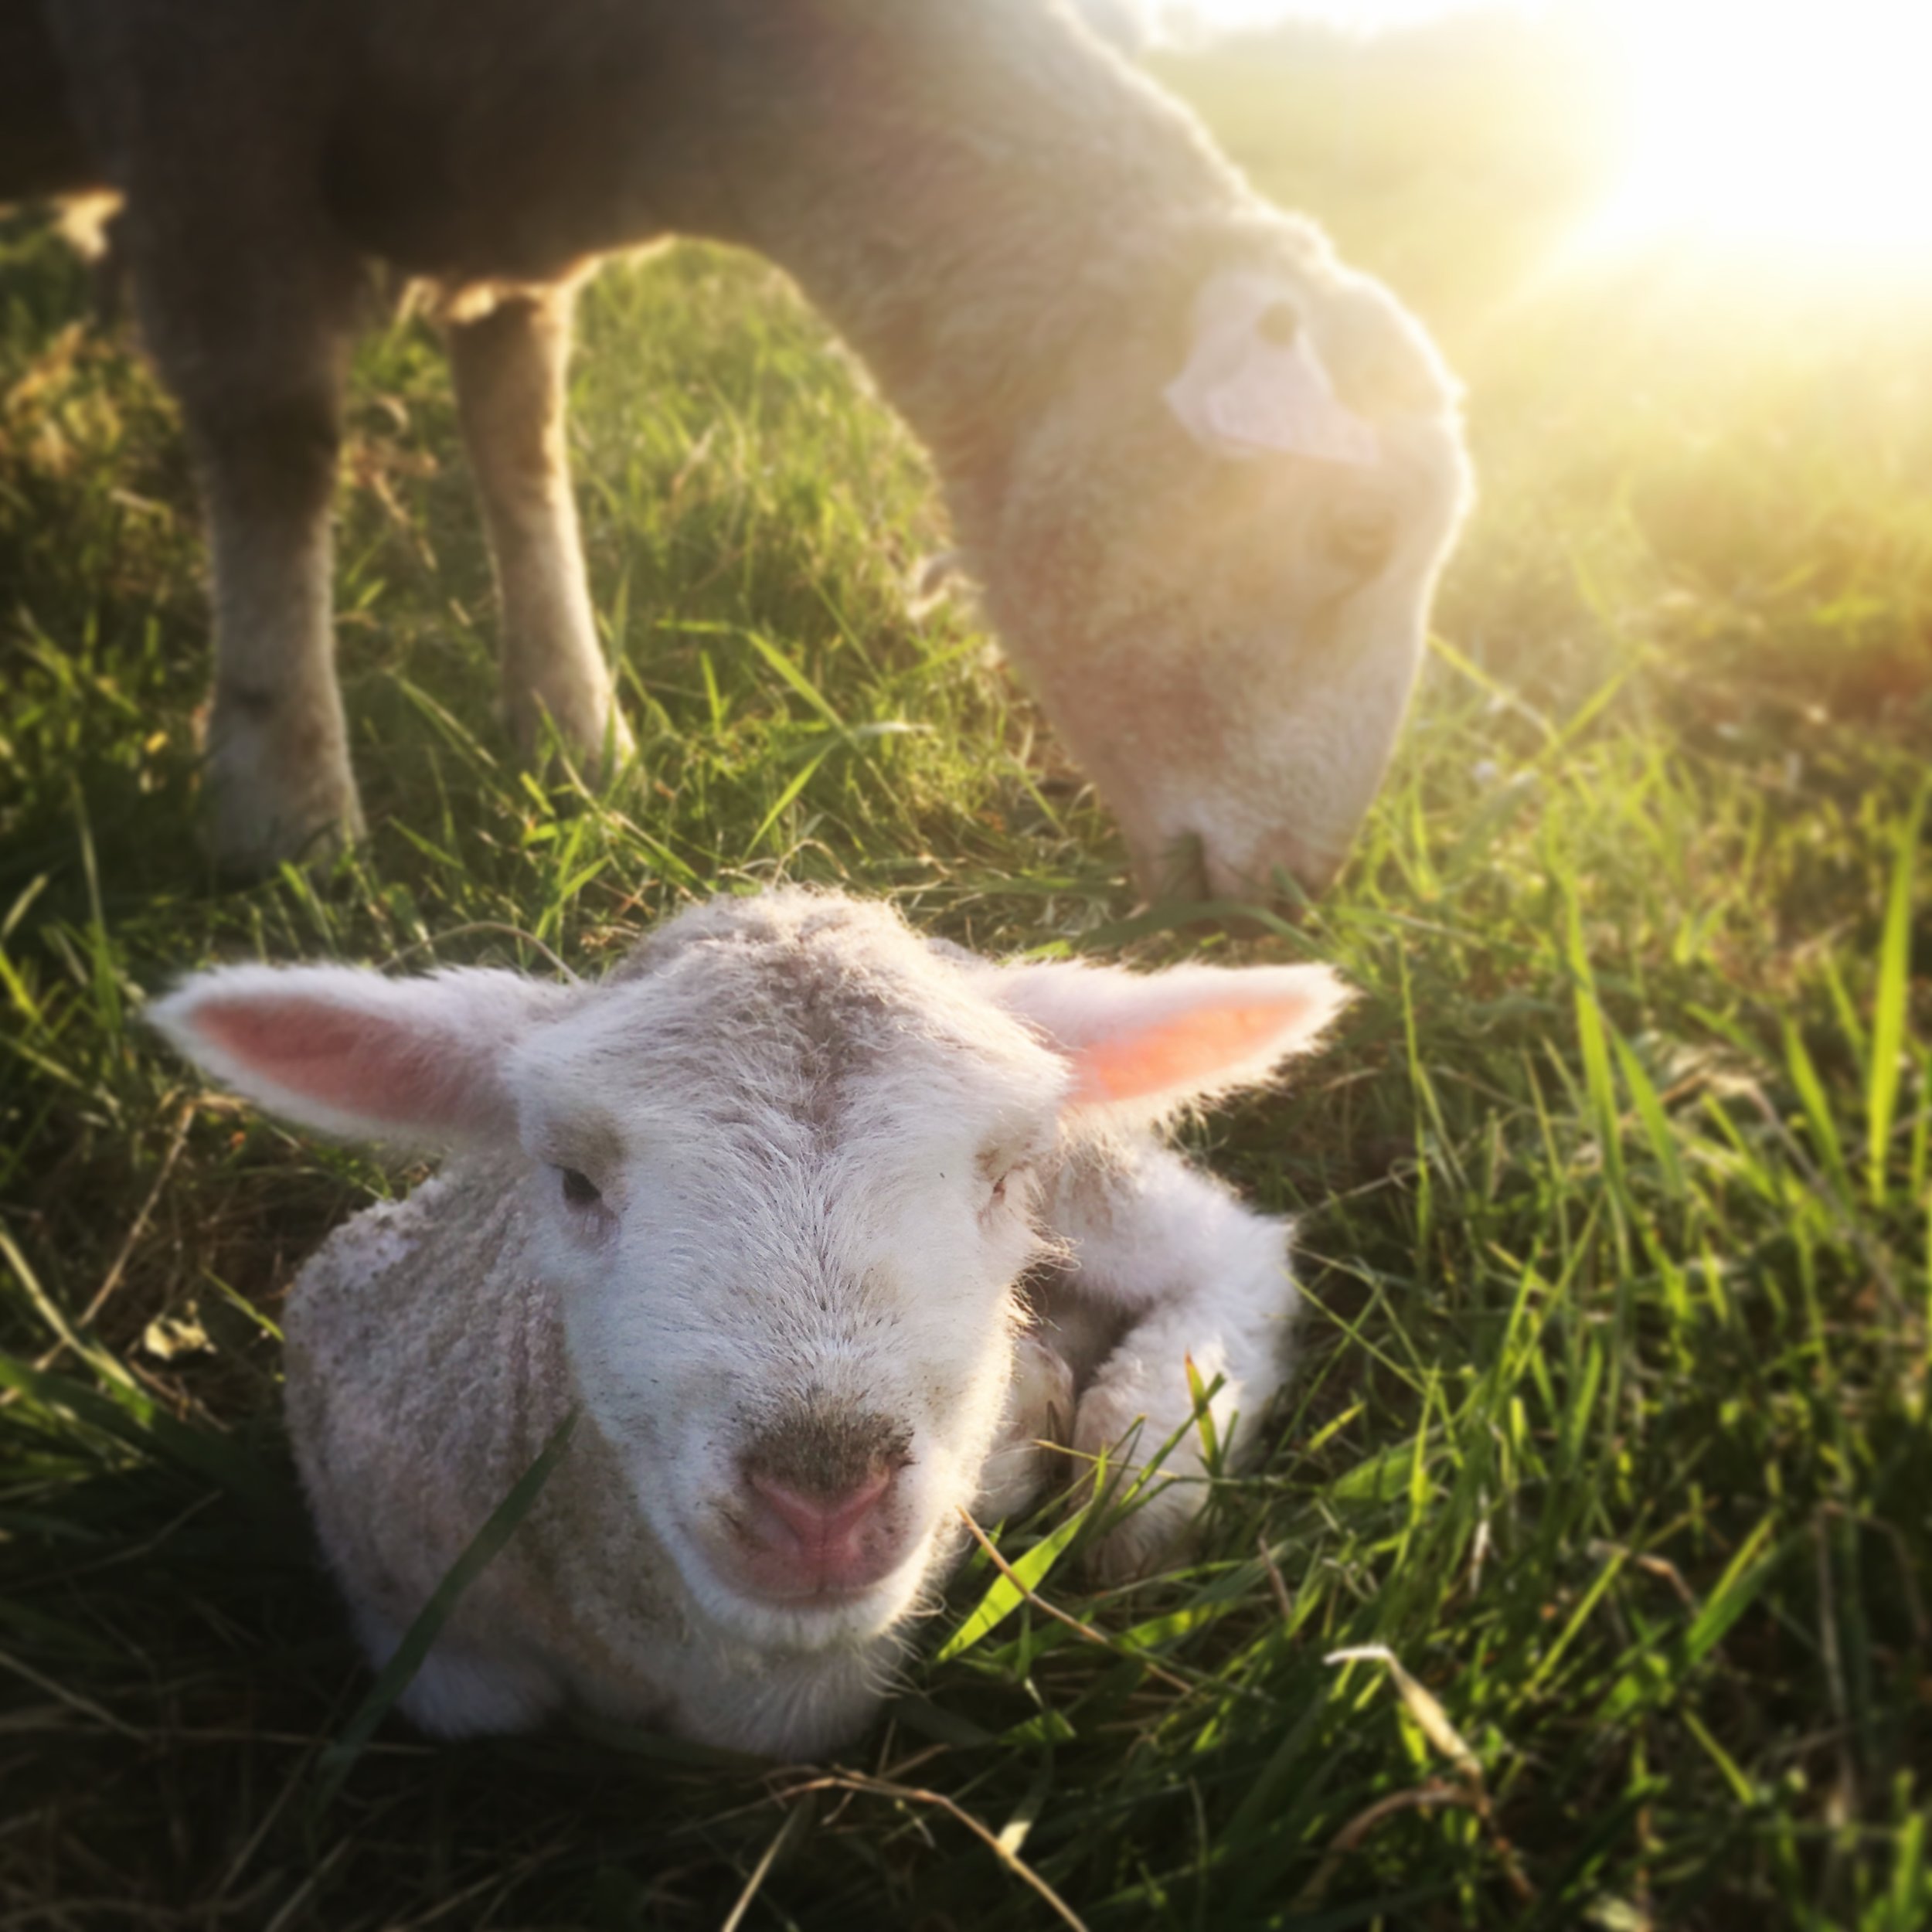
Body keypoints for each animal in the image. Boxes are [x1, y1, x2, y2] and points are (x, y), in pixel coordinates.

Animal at [7, 0, 1468, 893]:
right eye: (1356, 532)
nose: (1293, 900)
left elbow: (523, 432)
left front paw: (574, 733)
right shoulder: (204, 92)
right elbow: (275, 434)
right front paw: (286, 814)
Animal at [151, 885, 1352, 1762]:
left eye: (1005, 1175)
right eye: (571, 1181)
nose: (822, 1495)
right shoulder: (410, 1597)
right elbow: (475, 1698)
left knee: (1235, 1247)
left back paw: (1153, 1456)